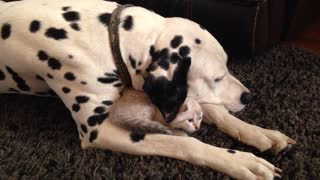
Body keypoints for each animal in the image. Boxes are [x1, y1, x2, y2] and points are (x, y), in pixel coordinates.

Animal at [0, 0, 296, 179]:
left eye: (227, 66)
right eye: (217, 77)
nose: (249, 96)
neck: (110, 38)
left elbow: (217, 112)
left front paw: (259, 133)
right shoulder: (100, 131)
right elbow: (183, 142)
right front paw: (241, 162)